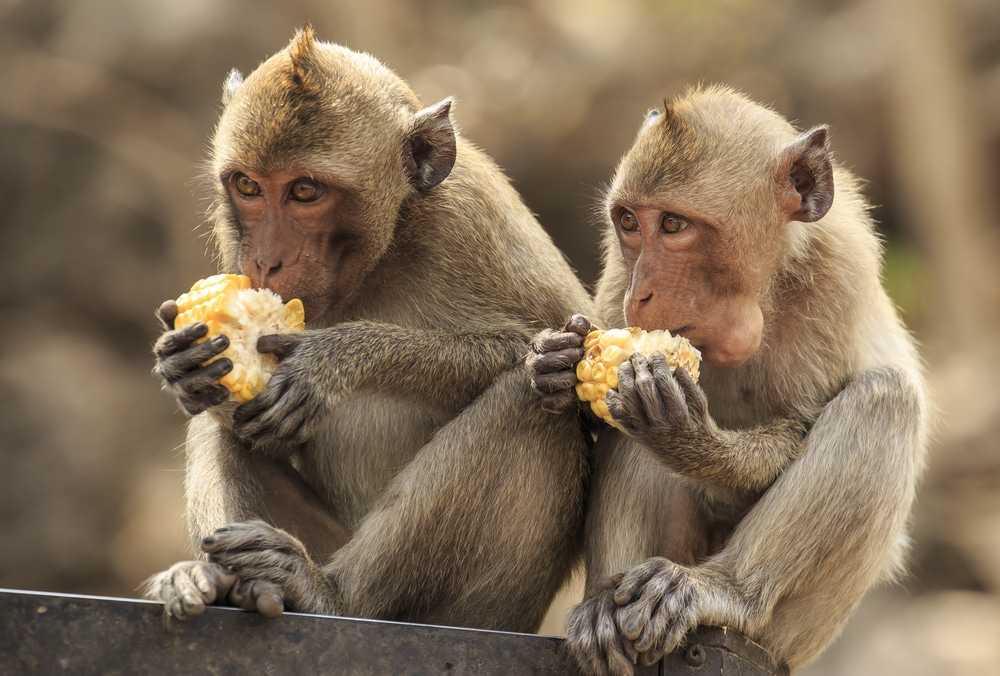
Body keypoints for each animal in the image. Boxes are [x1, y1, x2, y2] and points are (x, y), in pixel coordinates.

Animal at [144, 26, 594, 632]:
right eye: (247, 186)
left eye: (305, 191)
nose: (266, 261)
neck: (386, 248)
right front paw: (182, 366)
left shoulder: (472, 222)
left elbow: (561, 349)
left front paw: (333, 360)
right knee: (217, 425)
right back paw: (221, 581)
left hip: (484, 608)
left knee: (533, 403)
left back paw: (328, 592)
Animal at [528, 86, 928, 674]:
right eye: (629, 222)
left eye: (674, 225)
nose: (641, 294)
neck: (759, 293)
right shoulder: (617, 270)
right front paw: (555, 364)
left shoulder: (839, 276)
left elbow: (795, 430)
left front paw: (687, 438)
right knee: (629, 432)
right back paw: (605, 604)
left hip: (798, 631)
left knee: (884, 401)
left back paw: (724, 590)